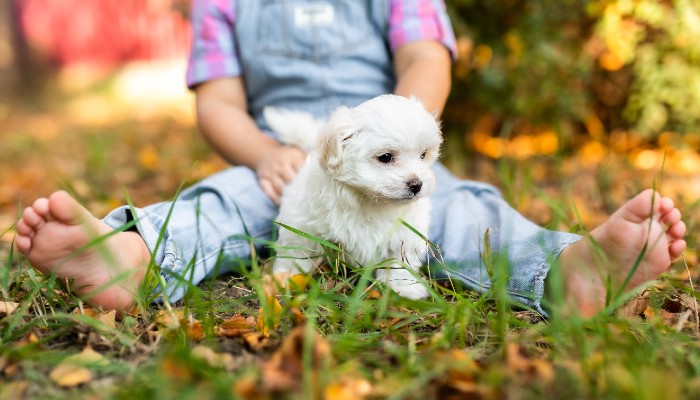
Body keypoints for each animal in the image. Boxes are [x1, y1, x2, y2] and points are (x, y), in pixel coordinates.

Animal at [262, 94, 442, 300]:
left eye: (423, 155)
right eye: (385, 157)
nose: (417, 185)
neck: (369, 201)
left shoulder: (406, 234)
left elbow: (402, 261)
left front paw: (405, 287)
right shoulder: (302, 223)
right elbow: (298, 251)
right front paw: (288, 277)